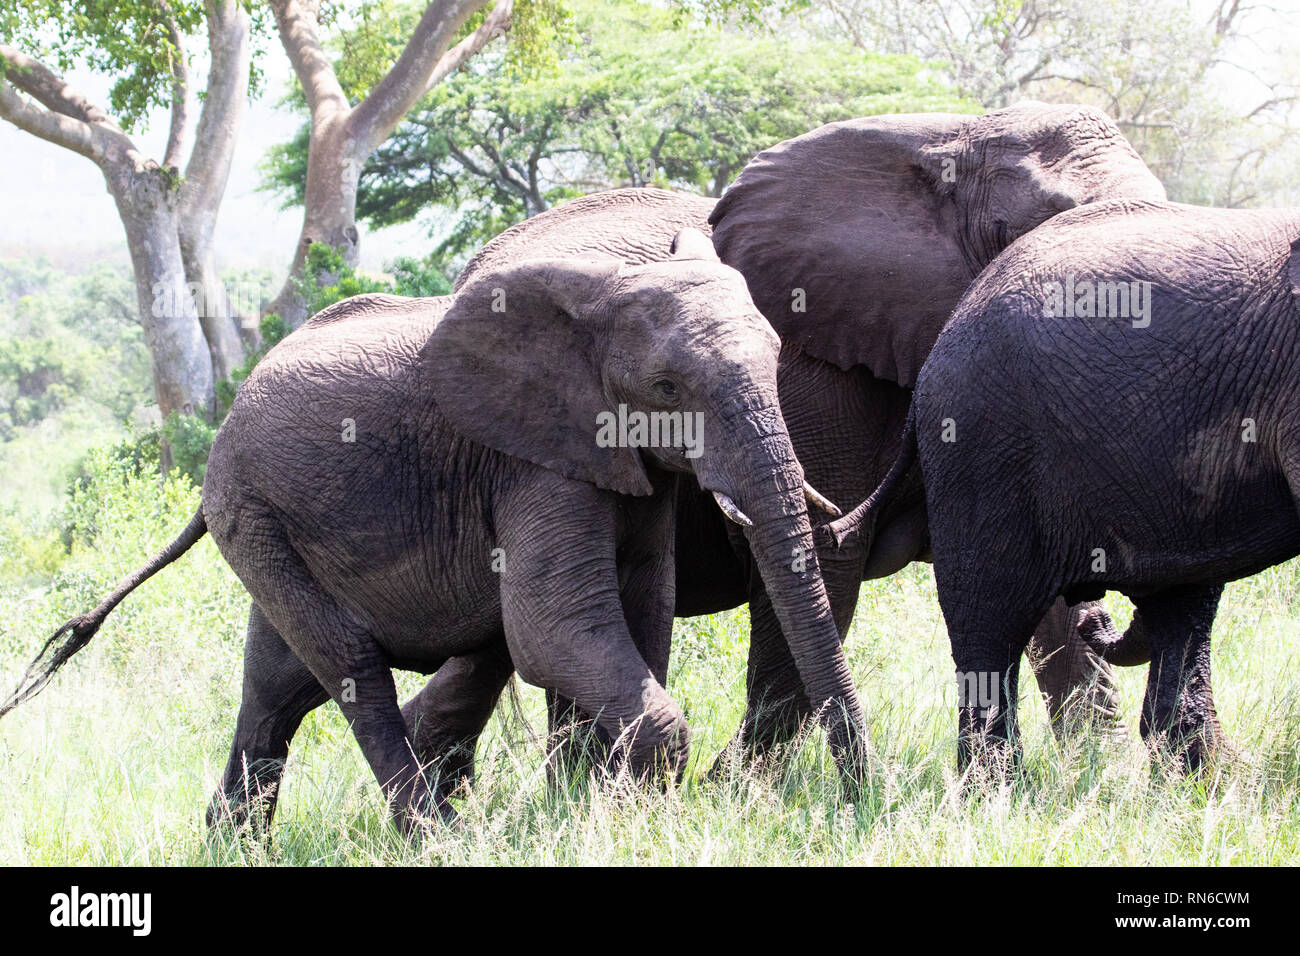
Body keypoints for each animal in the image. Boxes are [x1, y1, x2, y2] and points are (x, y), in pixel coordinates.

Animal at [2, 230, 863, 832]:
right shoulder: (528, 461)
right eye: (667, 386)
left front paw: (603, 809)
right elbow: (553, 630)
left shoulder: (624, 464)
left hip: (269, 522)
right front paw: (634, 811)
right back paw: (438, 836)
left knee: (276, 690)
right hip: (252, 515)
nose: (861, 799)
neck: (597, 301)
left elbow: (642, 611)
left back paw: (232, 844)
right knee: (350, 669)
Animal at [403, 102, 1170, 785]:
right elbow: (825, 571)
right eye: (1023, 232)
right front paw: (742, 795)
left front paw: (1102, 775)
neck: (959, 134)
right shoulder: (825, 383)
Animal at [826, 200, 1300, 770]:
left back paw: (1202, 777)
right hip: (983, 440)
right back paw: (995, 787)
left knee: (1183, 602)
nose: (1090, 622)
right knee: (990, 616)